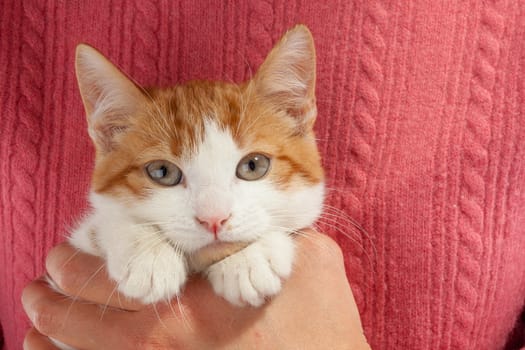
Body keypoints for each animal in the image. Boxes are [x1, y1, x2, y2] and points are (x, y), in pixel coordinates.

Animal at [68, 24, 324, 308]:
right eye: (162, 172)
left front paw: (248, 258)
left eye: (253, 165)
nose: (213, 219)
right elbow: (100, 223)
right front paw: (148, 253)